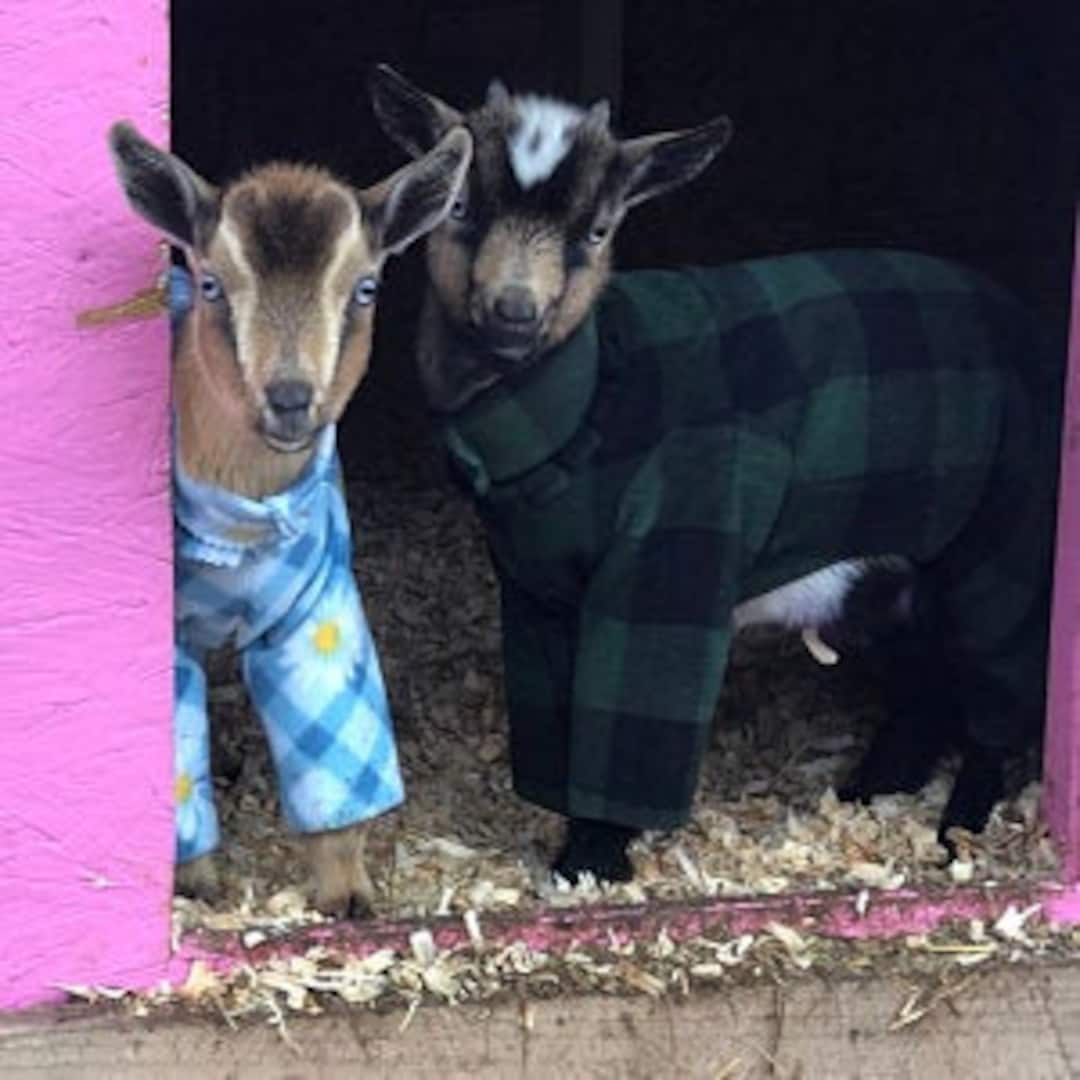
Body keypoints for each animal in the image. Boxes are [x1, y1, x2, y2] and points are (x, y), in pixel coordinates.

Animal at [109, 121, 472, 914]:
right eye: (213, 283)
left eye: (365, 287)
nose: (289, 399)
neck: (241, 524)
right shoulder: (168, 631)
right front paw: (195, 883)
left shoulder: (318, 606)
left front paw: (346, 895)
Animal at [369, 67, 1060, 884]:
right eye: (461, 206)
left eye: (597, 230)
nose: (514, 309)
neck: (589, 403)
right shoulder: (538, 591)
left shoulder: (668, 562)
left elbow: (630, 722)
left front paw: (594, 860)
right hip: (900, 574)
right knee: (926, 688)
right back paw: (872, 790)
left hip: (1004, 550)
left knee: (992, 701)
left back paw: (959, 833)